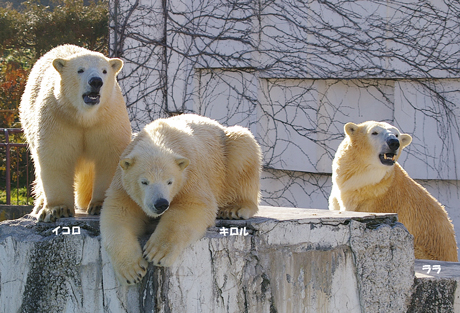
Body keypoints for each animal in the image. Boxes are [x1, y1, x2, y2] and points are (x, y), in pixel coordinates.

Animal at [19, 45, 131, 223]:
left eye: (104, 71)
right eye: (80, 70)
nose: (96, 81)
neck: (84, 117)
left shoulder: (108, 120)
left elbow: (109, 157)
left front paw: (99, 205)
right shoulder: (58, 116)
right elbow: (56, 156)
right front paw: (57, 209)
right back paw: (40, 205)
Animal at [100, 113, 260, 284]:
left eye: (169, 181)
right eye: (144, 182)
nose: (161, 204)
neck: (159, 138)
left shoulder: (189, 175)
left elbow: (192, 205)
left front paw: (157, 252)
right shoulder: (123, 184)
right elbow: (119, 213)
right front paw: (132, 271)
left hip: (226, 151)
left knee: (243, 148)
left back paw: (234, 208)